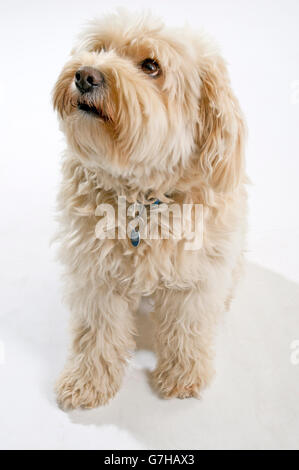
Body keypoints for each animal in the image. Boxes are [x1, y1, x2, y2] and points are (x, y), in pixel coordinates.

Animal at [53, 10, 248, 408]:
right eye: (101, 48)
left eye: (151, 66)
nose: (85, 75)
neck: (142, 198)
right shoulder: (95, 274)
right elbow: (96, 331)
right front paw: (87, 381)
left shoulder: (197, 276)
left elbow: (188, 327)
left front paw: (184, 376)